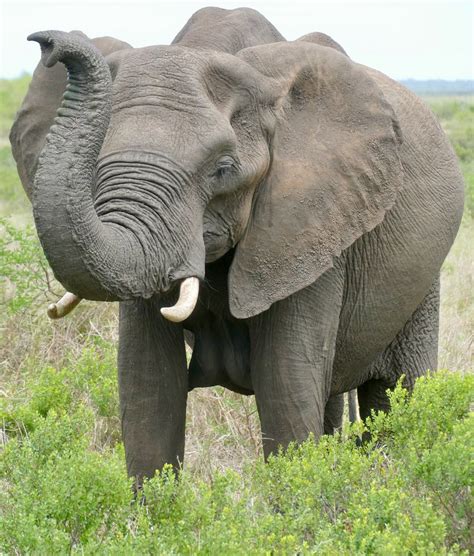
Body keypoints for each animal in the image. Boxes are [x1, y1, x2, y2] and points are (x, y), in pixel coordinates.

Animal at [10, 6, 462, 480]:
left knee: (397, 392)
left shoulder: (309, 229)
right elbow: (148, 386)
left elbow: (285, 386)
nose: (49, 42)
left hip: (421, 279)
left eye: (223, 169)